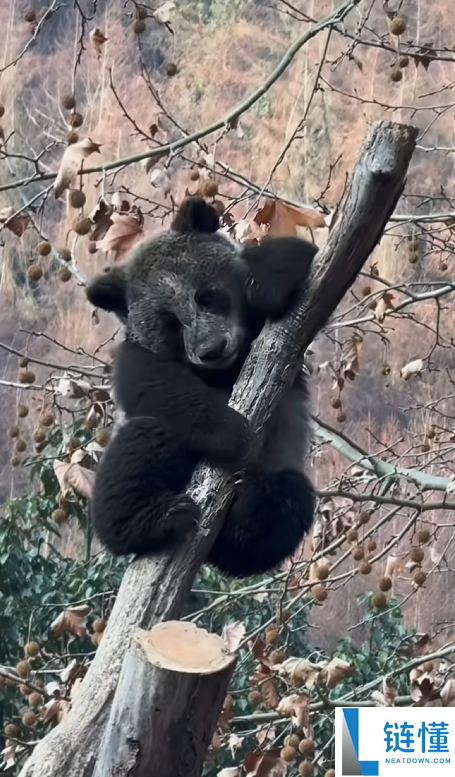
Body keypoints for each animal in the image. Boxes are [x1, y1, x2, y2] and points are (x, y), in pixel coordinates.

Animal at [85, 196, 317, 578]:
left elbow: (296, 256)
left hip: (279, 465)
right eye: (170, 324)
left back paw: (241, 518)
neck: (225, 371)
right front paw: (231, 434)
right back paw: (155, 520)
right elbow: (154, 386)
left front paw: (264, 284)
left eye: (208, 296)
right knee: (142, 447)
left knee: (284, 504)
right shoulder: (138, 354)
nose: (212, 350)